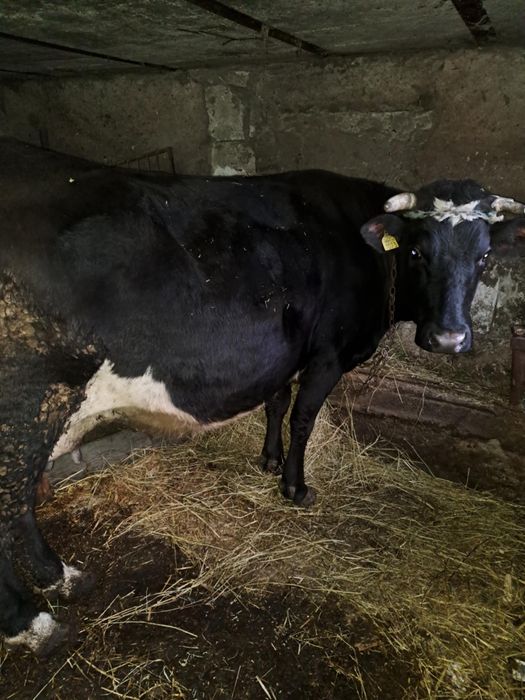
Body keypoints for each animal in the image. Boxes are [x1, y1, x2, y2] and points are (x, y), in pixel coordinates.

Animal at [0, 138, 523, 655]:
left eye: (483, 257)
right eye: (416, 251)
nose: (450, 339)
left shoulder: (283, 354)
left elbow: (276, 402)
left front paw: (269, 460)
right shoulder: (328, 354)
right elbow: (304, 416)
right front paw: (295, 486)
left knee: (20, 506)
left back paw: (62, 579)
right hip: (27, 407)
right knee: (12, 503)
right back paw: (31, 622)